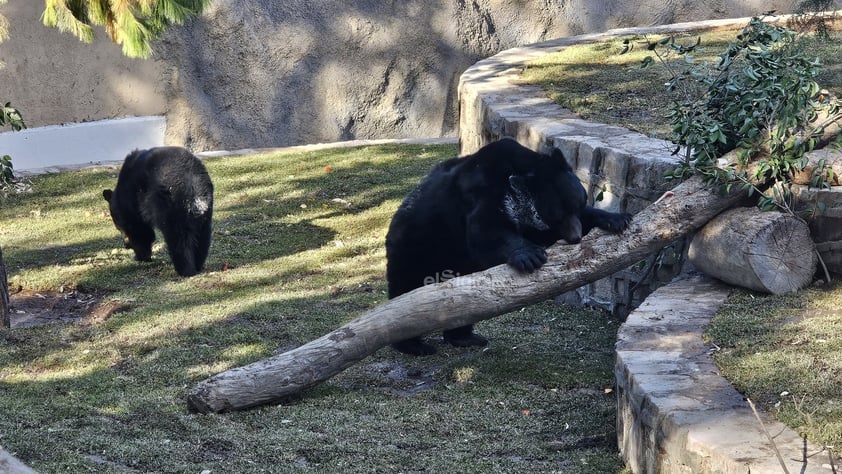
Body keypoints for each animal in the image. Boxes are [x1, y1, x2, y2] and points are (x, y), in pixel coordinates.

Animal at [102, 146, 213, 276]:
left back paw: (185, 270)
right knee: (202, 237)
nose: (126, 245)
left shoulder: (133, 204)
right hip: (205, 213)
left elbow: (139, 231)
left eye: (118, 227)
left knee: (178, 239)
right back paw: (198, 265)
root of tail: (194, 187)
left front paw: (140, 256)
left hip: (172, 206)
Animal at [384, 138, 628, 356]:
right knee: (405, 287)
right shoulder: (480, 194)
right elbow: (486, 232)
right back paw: (413, 345)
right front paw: (530, 256)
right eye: (556, 215)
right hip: (418, 244)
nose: (575, 237)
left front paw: (615, 218)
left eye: (577, 204)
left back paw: (465, 337)